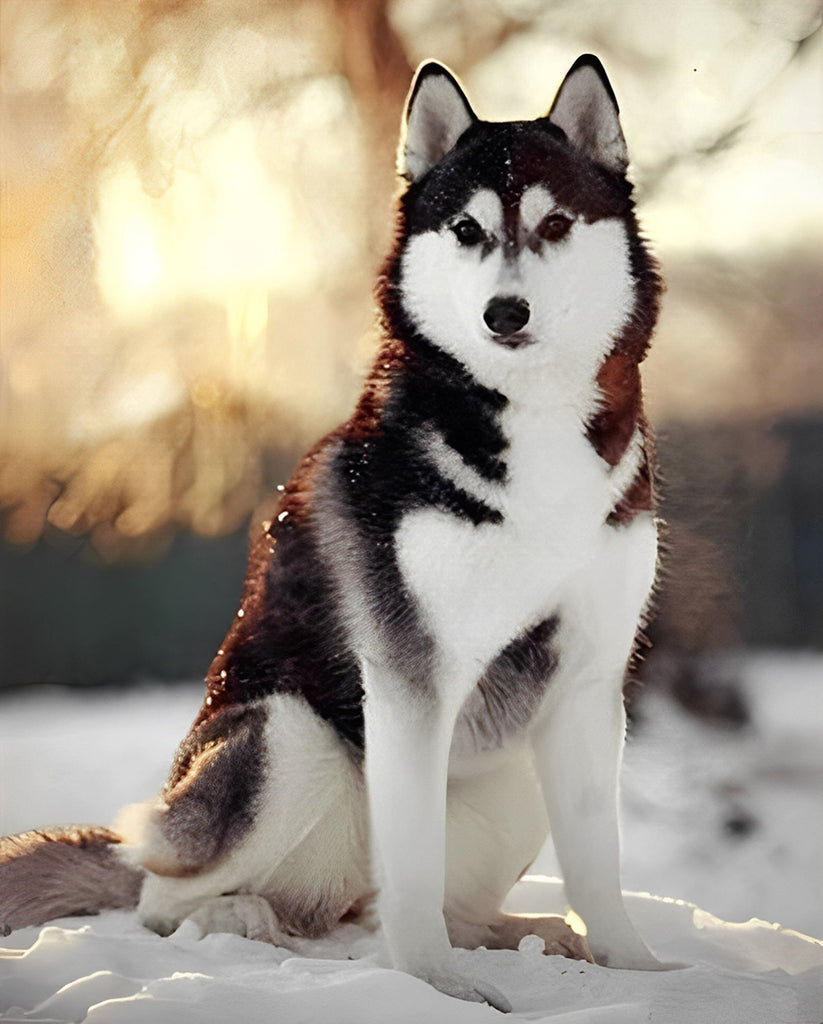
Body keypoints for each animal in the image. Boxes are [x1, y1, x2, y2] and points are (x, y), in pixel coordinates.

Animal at [1, 56, 663, 1007]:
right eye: (466, 228)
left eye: (554, 224)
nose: (504, 313)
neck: (530, 425)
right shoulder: (409, 679)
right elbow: (411, 868)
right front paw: (434, 986)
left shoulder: (587, 681)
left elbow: (598, 865)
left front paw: (639, 968)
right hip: (287, 739)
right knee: (170, 902)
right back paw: (250, 921)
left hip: (511, 775)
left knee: (393, 907)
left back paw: (518, 933)